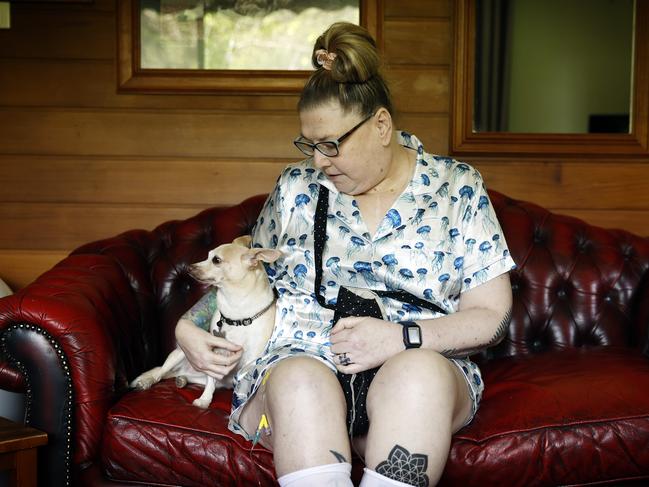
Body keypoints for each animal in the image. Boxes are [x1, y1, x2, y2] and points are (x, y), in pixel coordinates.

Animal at [130, 235, 282, 408]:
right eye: (208, 256)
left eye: (216, 260)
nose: (189, 267)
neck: (236, 315)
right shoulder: (213, 356)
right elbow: (211, 381)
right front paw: (204, 400)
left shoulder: (250, 361)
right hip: (179, 353)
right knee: (160, 372)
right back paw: (148, 381)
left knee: (176, 375)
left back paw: (181, 379)